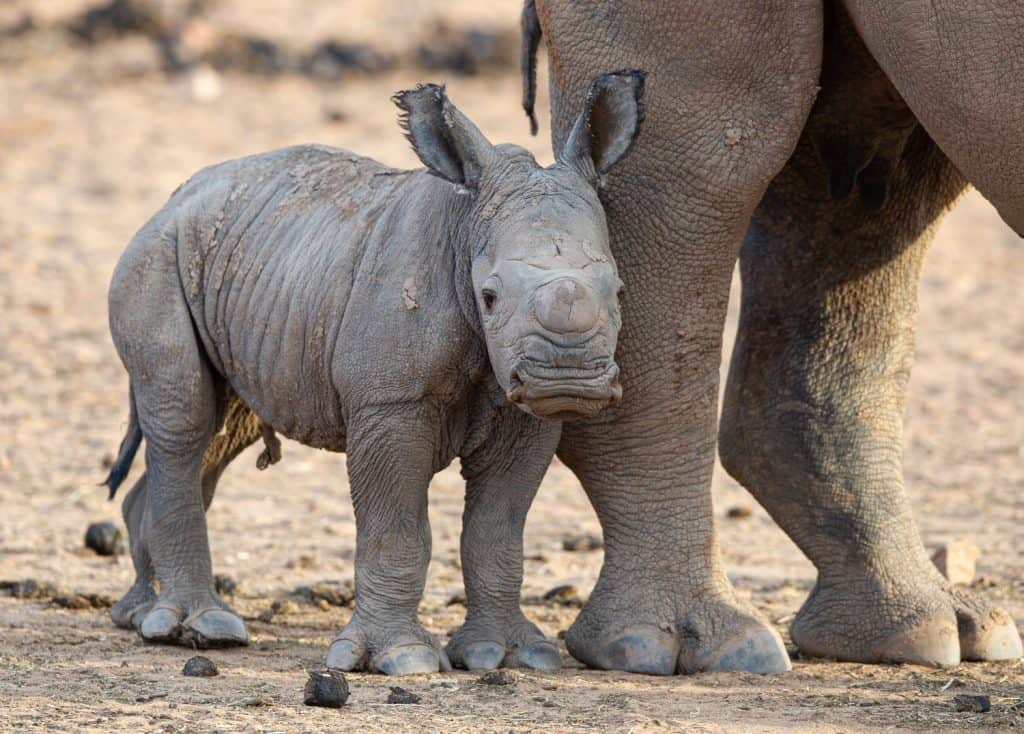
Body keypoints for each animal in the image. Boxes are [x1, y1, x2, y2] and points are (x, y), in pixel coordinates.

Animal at [101, 70, 645, 674]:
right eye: (489, 297)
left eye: (620, 292)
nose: (565, 380)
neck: (464, 231)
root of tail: (169, 203)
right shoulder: (389, 403)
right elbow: (395, 530)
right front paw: (402, 658)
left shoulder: (524, 417)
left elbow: (497, 531)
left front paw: (506, 654)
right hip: (156, 257)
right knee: (187, 419)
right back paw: (199, 627)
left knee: (220, 432)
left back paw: (141, 616)